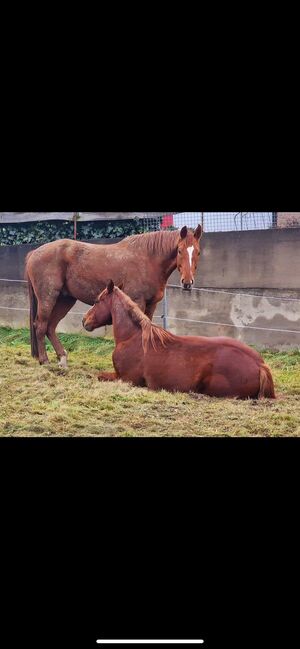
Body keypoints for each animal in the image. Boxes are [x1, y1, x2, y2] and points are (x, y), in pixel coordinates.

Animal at [25, 224, 202, 364]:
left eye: (198, 252)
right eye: (179, 250)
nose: (187, 282)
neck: (148, 260)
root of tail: (34, 252)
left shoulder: (151, 305)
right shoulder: (138, 302)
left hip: (65, 300)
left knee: (50, 327)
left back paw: (62, 357)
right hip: (48, 298)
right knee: (40, 325)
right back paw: (44, 360)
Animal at [82, 280, 276, 398]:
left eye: (97, 301)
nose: (84, 320)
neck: (132, 338)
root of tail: (260, 366)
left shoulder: (127, 379)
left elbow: (99, 376)